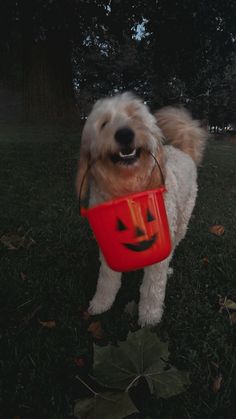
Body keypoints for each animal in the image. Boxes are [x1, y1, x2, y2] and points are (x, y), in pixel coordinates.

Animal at [76, 92, 206, 328]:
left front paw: (149, 315)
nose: (125, 134)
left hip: (182, 221)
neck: (128, 186)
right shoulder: (108, 246)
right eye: (104, 124)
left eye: (135, 117)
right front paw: (101, 303)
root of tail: (182, 150)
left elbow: (152, 287)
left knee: (173, 246)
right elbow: (107, 279)